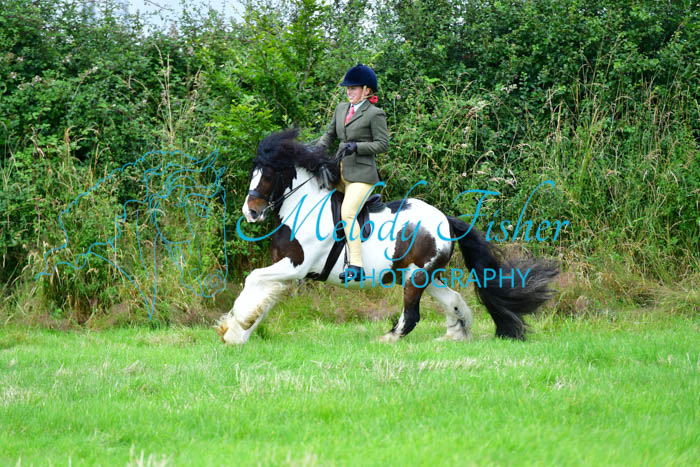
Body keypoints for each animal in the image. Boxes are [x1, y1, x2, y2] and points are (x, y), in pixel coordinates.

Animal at [216, 129, 558, 344]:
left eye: (269, 174)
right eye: (253, 172)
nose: (251, 212)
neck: (303, 207)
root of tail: (444, 219)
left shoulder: (295, 266)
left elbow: (252, 281)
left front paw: (233, 327)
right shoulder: (286, 271)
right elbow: (262, 298)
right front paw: (238, 332)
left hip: (416, 277)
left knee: (412, 315)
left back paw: (388, 338)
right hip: (423, 275)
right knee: (453, 301)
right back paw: (454, 336)